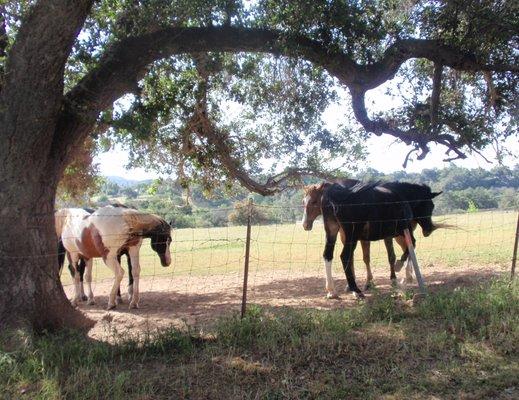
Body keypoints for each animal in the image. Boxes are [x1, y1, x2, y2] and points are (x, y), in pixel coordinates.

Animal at [302, 180, 440, 298]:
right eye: (431, 205)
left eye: (313, 202)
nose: (429, 229)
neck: (401, 196)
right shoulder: (401, 230)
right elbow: (407, 247)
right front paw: (397, 270)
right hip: (353, 234)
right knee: (344, 256)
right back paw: (356, 290)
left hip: (332, 232)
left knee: (328, 255)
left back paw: (332, 291)